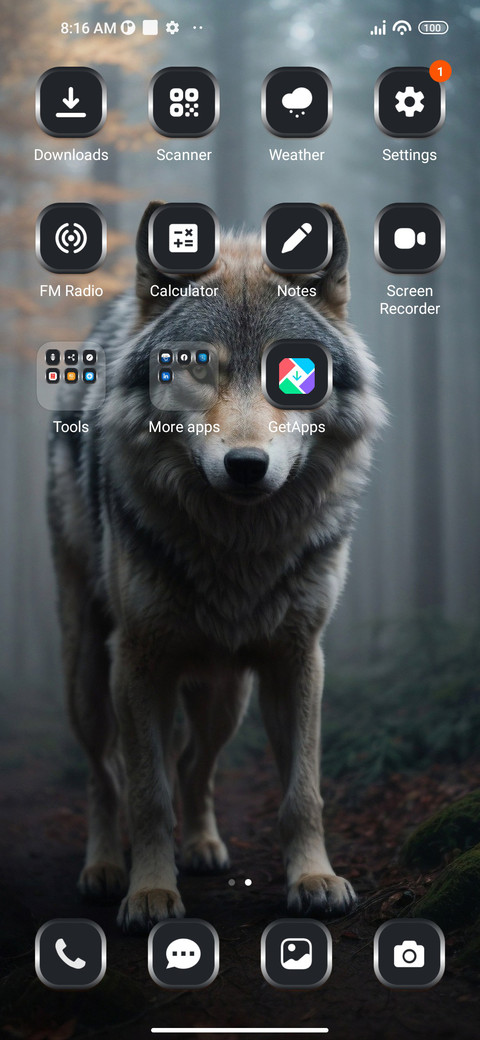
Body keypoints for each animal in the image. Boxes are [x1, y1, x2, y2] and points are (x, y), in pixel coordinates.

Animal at [48, 202, 385, 933]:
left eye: (295, 369)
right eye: (198, 366)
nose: (246, 466)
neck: (237, 551)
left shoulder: (297, 657)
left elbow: (302, 792)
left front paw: (314, 878)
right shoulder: (137, 661)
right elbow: (146, 794)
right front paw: (149, 891)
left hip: (225, 695)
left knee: (194, 765)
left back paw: (202, 845)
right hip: (87, 673)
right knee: (104, 775)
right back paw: (103, 867)